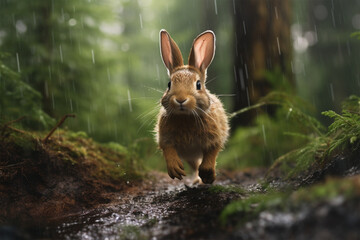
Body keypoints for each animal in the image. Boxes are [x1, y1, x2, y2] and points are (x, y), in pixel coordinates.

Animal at [154, 30, 228, 184]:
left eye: (198, 84)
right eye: (169, 84)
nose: (180, 100)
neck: (186, 117)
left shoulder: (215, 136)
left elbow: (212, 152)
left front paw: (207, 175)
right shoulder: (165, 138)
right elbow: (168, 149)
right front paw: (175, 169)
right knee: (194, 166)